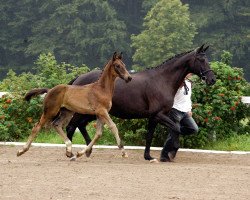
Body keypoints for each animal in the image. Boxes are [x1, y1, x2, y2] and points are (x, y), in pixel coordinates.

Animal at [65, 44, 216, 161]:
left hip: (92, 113)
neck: (162, 80)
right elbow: (176, 128)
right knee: (71, 127)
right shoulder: (158, 115)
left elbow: (150, 136)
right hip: (84, 112)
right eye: (201, 59)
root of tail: (79, 78)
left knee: (80, 126)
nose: (212, 79)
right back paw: (71, 153)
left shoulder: (154, 117)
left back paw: (87, 151)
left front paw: (148, 156)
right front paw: (169, 153)